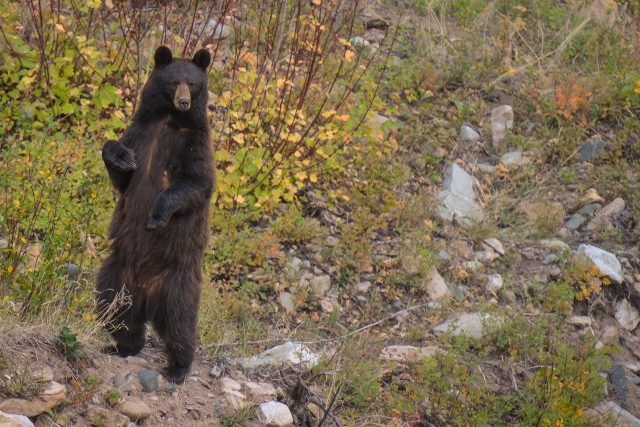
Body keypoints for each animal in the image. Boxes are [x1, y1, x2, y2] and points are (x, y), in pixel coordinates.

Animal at [95, 46, 215, 384]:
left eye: (193, 83)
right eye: (174, 82)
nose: (184, 101)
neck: (169, 120)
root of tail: (147, 295)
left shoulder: (195, 142)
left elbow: (195, 182)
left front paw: (157, 216)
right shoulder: (141, 132)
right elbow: (123, 173)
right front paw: (121, 158)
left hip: (177, 281)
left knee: (180, 322)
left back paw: (178, 367)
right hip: (116, 272)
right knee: (114, 307)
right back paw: (123, 346)